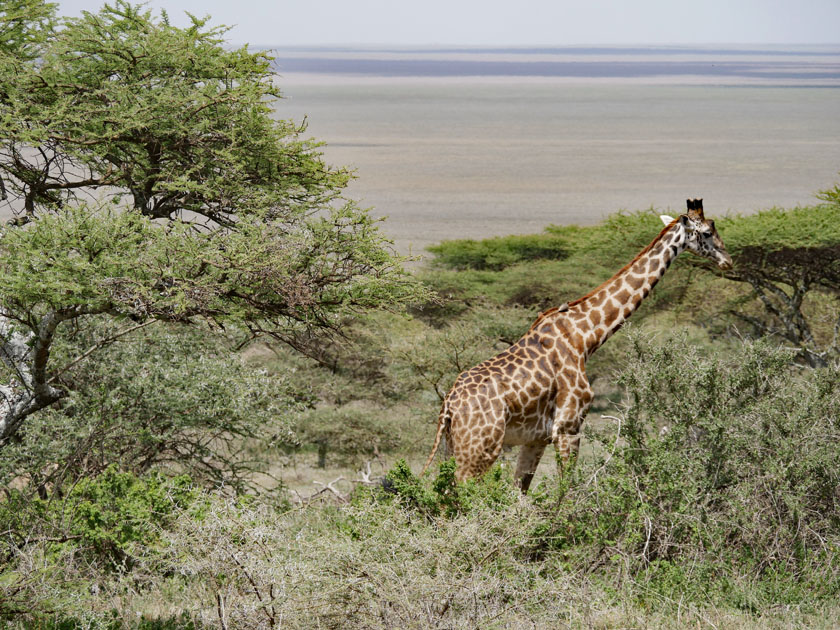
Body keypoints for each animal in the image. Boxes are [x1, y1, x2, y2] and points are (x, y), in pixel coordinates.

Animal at [424, 198, 732, 494]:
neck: (584, 336)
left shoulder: (537, 438)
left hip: (456, 446)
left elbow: (519, 493)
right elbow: (567, 493)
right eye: (707, 232)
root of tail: (449, 406)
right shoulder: (568, 428)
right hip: (481, 448)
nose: (728, 260)